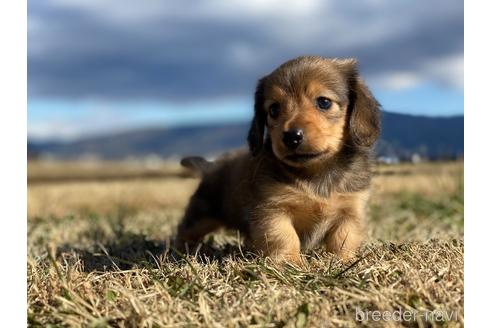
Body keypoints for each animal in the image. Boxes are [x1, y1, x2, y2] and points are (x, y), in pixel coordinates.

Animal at [177, 56, 380, 266]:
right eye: (274, 109)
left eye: (324, 102)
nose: (291, 137)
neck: (315, 173)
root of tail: (211, 166)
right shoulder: (272, 210)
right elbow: (285, 237)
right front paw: (290, 263)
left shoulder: (351, 210)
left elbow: (343, 238)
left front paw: (344, 261)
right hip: (202, 215)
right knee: (185, 230)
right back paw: (181, 251)